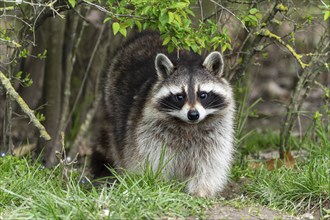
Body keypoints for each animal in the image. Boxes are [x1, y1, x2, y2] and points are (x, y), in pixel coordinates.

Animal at [91, 31, 236, 198]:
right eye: (180, 97)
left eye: (203, 95)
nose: (193, 114)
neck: (189, 126)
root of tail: (148, 33)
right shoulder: (150, 130)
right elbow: (154, 157)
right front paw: (159, 184)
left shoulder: (215, 133)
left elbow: (209, 161)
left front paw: (201, 190)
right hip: (113, 104)